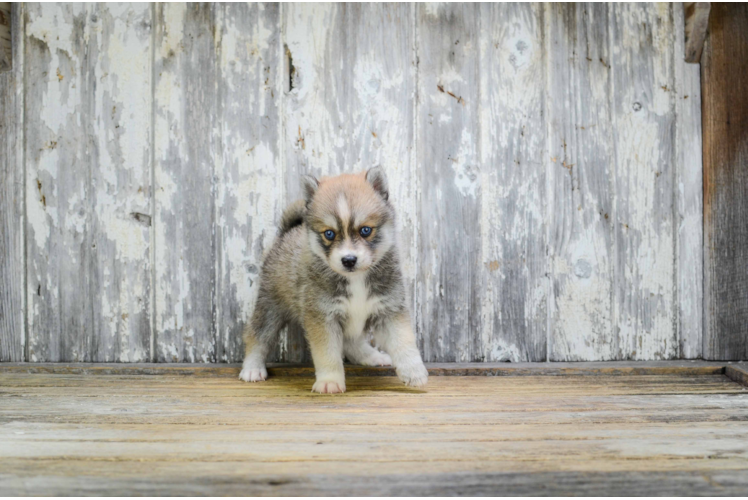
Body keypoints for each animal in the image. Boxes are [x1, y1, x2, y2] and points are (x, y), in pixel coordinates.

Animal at [238, 168, 426, 394]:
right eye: (329, 233)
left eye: (365, 230)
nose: (349, 260)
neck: (355, 278)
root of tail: (286, 233)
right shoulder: (323, 317)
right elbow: (327, 353)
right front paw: (329, 381)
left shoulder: (390, 309)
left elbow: (404, 342)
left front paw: (414, 371)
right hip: (270, 307)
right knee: (257, 336)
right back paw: (252, 368)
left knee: (352, 342)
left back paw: (371, 356)